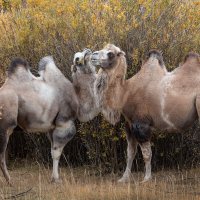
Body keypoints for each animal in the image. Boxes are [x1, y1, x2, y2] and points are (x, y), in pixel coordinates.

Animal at [91, 43, 200, 183]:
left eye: (111, 53)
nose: (93, 55)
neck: (126, 93)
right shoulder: (129, 125)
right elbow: (130, 153)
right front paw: (123, 178)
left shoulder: (141, 124)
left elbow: (147, 154)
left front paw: (146, 178)